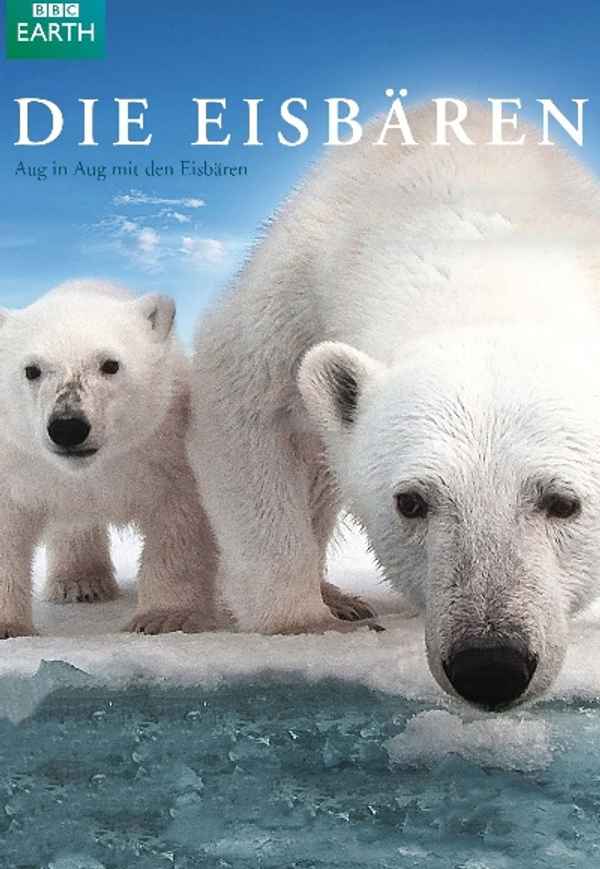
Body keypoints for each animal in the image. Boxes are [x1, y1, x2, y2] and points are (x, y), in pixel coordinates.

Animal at [0, 280, 218, 638]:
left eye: (110, 364)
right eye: (32, 369)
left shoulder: (165, 449)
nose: (68, 427)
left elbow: (178, 520)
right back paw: (80, 583)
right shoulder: (16, 464)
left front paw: (165, 617)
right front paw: (8, 627)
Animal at [188, 101, 600, 710]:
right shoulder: (303, 277)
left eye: (564, 501)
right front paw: (303, 621)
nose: (490, 664)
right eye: (410, 501)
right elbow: (242, 399)